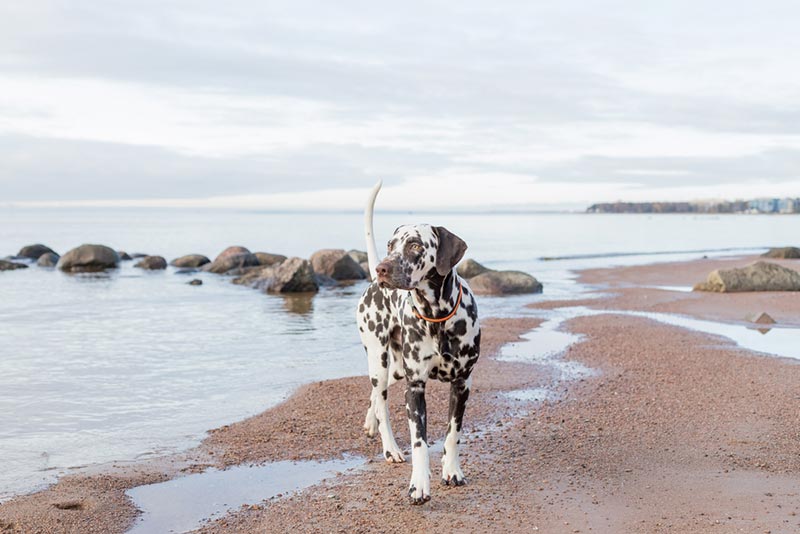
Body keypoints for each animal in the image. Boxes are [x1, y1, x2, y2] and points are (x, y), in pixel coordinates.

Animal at [358, 182, 482, 504]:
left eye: (415, 245)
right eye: (391, 245)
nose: (383, 268)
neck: (437, 318)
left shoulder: (462, 385)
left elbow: (453, 434)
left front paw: (452, 470)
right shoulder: (415, 389)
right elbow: (420, 443)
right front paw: (419, 485)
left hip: (395, 369)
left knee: (376, 395)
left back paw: (370, 422)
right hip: (379, 361)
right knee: (381, 402)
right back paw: (389, 447)